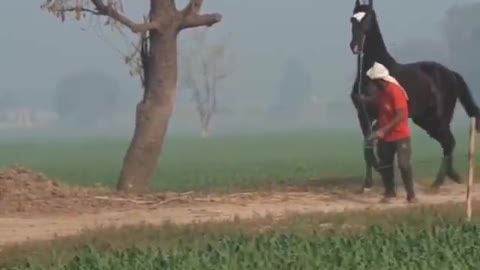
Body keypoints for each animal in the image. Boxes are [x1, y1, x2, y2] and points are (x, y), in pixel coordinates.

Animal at [348, 0, 480, 192]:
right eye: (352, 19)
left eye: (368, 19)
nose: (355, 46)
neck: (373, 74)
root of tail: (451, 74)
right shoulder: (363, 115)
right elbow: (367, 145)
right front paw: (367, 183)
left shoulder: (382, 116)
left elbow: (374, 142)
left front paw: (380, 169)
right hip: (426, 120)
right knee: (447, 143)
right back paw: (451, 177)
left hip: (439, 119)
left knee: (449, 142)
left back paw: (438, 183)